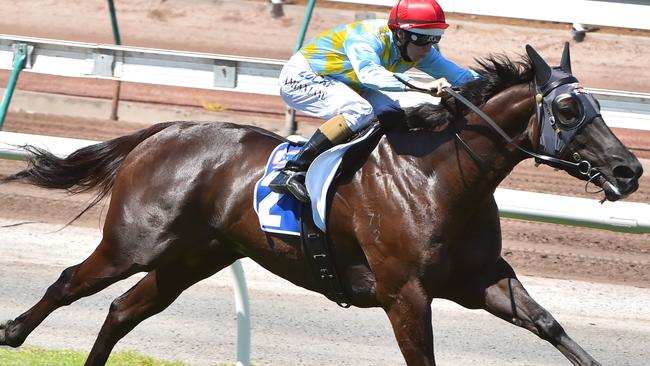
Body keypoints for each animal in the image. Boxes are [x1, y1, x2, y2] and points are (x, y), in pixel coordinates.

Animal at [0, 44, 636, 364]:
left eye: (600, 106)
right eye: (568, 110)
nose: (629, 170)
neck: (438, 178)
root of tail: (166, 130)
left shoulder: (481, 278)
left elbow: (548, 324)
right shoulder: (404, 294)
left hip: (190, 258)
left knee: (120, 313)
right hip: (136, 243)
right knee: (70, 282)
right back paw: (12, 333)